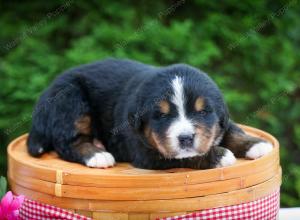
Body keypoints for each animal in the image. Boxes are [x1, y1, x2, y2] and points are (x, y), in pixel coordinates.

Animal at [27, 57, 274, 169]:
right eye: (162, 116)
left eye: (203, 111)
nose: (186, 138)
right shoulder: (146, 152)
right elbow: (186, 157)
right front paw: (221, 155)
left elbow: (233, 130)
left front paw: (256, 144)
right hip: (71, 98)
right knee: (67, 142)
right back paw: (97, 154)